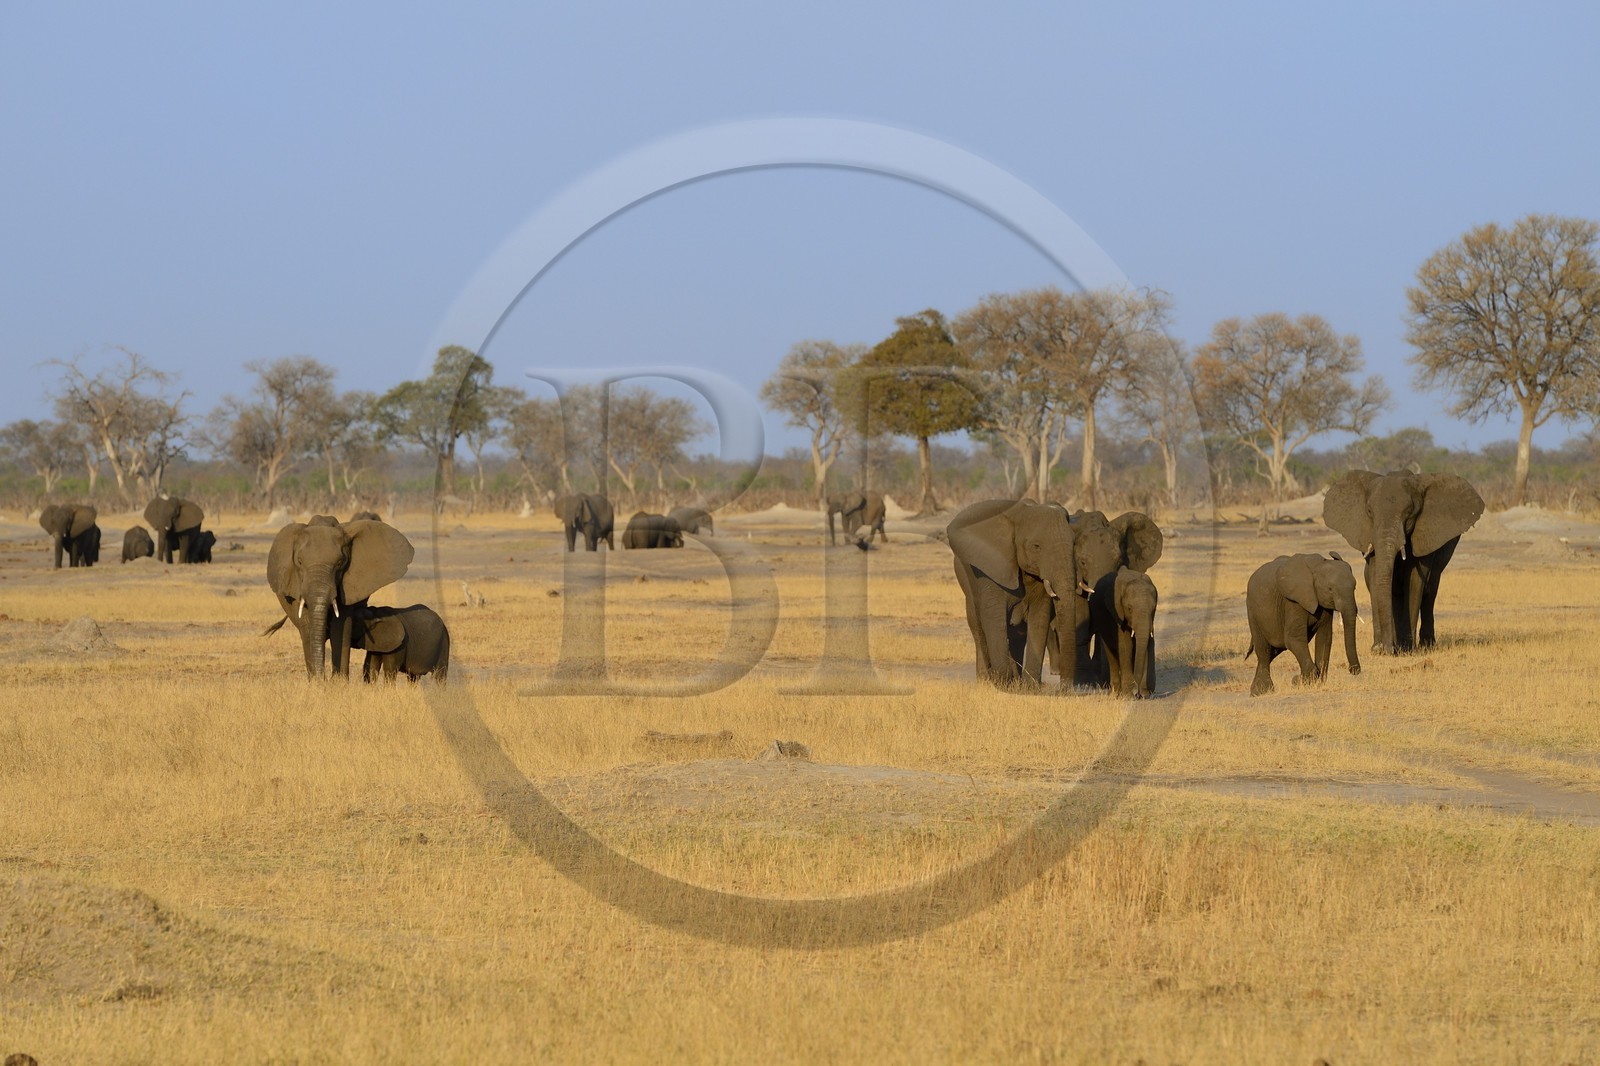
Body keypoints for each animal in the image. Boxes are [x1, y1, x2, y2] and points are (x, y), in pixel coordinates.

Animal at [266, 515, 415, 678]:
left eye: (340, 563)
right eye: (299, 562)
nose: (322, 677)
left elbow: (341, 626)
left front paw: (338, 681)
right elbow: (307, 626)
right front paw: (316, 681)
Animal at [948, 498, 1078, 688]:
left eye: (1074, 544)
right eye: (1036, 546)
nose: (1064, 688)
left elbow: (1040, 617)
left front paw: (1030, 687)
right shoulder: (989, 569)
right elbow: (993, 617)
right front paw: (1000, 683)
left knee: (1017, 635)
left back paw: (1015, 681)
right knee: (978, 627)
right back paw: (986, 681)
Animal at [1088, 567, 1158, 699]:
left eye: (1153, 608)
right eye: (1129, 608)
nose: (1137, 692)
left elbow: (1148, 642)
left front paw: (1145, 693)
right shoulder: (1117, 613)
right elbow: (1125, 645)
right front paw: (1129, 695)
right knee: (1111, 652)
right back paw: (1115, 693)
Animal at [1245, 552, 1361, 696]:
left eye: (1355, 588)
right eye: (1330, 589)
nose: (1353, 670)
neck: (1317, 566)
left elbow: (1325, 639)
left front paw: (1313, 682)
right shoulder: (1293, 602)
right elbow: (1293, 639)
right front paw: (1299, 681)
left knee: (1274, 650)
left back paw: (1255, 690)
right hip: (1253, 612)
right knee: (1264, 650)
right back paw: (1263, 691)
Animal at [1322, 470, 1484, 654]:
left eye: (1410, 513)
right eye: (1369, 511)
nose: (1388, 649)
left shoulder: (1424, 535)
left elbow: (1414, 580)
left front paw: (1406, 649)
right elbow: (1376, 576)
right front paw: (1379, 649)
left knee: (1430, 591)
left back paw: (1425, 645)